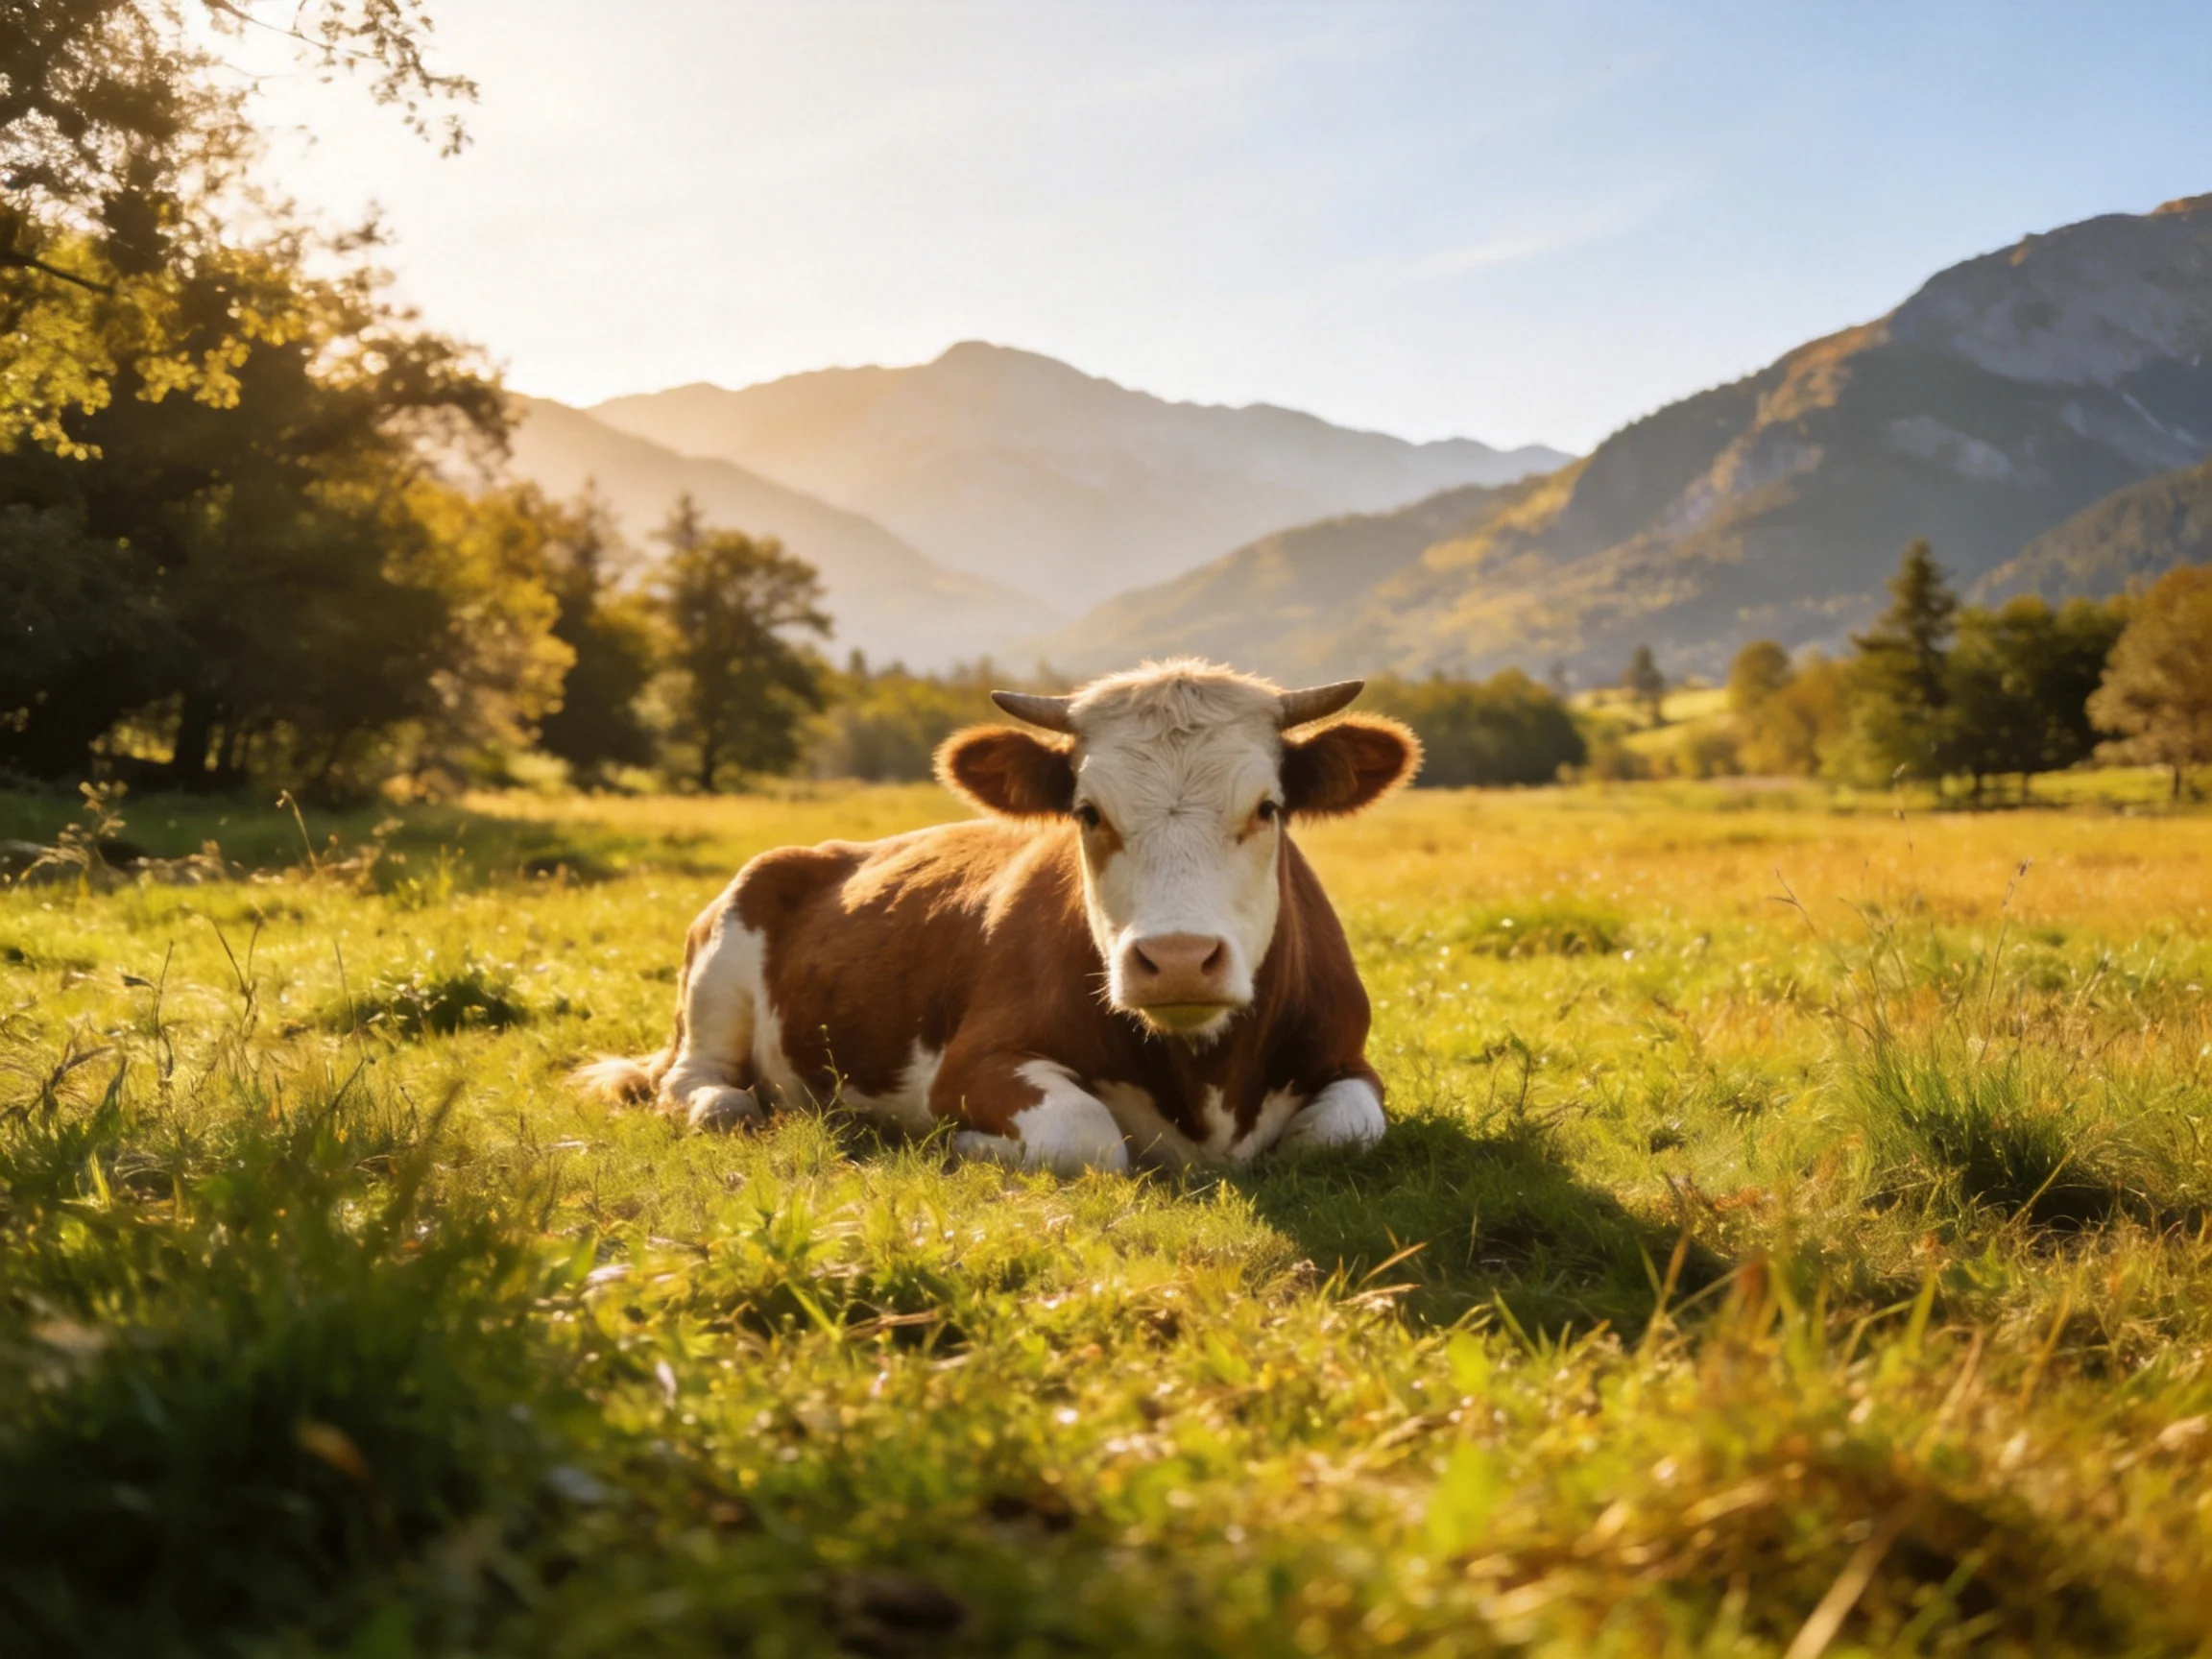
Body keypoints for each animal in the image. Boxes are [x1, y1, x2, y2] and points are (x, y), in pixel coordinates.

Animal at [579, 660, 1420, 1173]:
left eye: (1267, 808)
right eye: (1087, 812)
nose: (1178, 958)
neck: (1209, 1079)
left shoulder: (1350, 1060)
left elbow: (1341, 1134)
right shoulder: (975, 1062)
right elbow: (1087, 1138)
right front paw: (961, 1147)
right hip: (722, 961)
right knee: (695, 1083)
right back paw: (735, 1103)